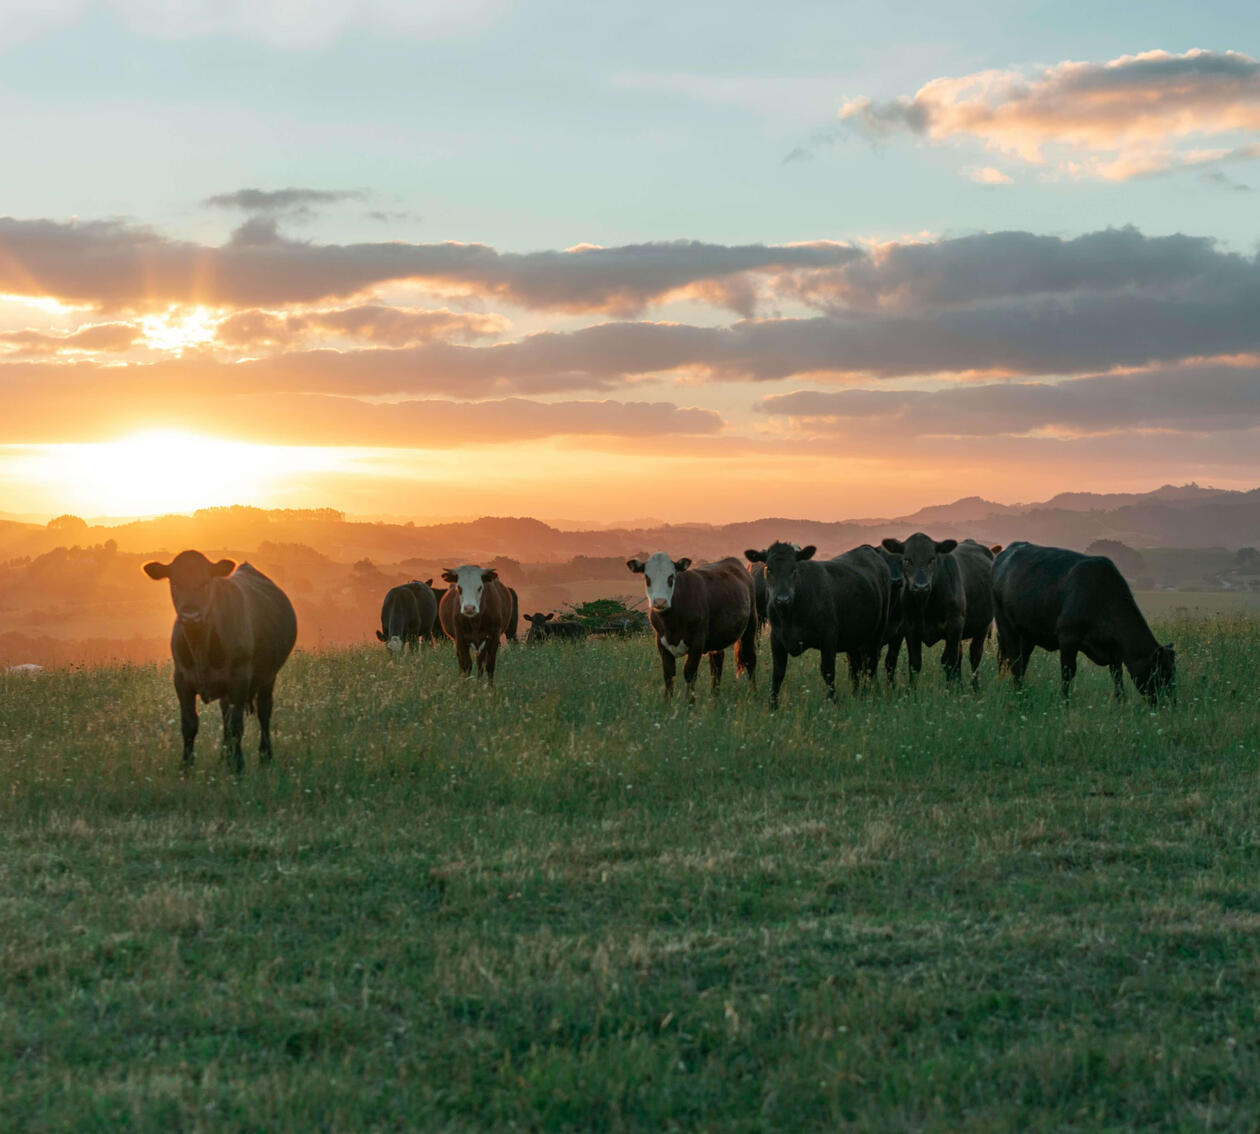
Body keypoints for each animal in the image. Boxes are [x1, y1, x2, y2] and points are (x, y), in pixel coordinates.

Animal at [143, 550, 297, 771]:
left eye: (206, 583)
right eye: (175, 584)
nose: (191, 615)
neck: (200, 647)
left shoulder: (239, 678)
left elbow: (236, 726)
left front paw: (239, 766)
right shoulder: (181, 679)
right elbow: (189, 724)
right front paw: (186, 767)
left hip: (269, 675)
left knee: (264, 711)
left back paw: (265, 756)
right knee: (226, 714)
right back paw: (224, 758)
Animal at [626, 553, 757, 701]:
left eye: (671, 577)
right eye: (647, 577)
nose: (660, 601)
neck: (671, 623)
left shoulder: (697, 641)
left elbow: (690, 673)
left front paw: (689, 703)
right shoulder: (661, 642)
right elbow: (668, 674)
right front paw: (667, 702)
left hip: (750, 625)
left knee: (750, 659)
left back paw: (753, 694)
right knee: (717, 664)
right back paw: (714, 698)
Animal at [745, 542, 889, 709]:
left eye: (794, 569)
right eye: (769, 569)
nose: (782, 599)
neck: (789, 616)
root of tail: (868, 549)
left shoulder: (829, 636)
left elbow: (828, 671)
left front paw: (833, 702)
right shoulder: (777, 638)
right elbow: (778, 673)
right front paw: (772, 706)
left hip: (877, 633)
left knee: (871, 665)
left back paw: (872, 694)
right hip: (855, 638)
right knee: (856, 667)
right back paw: (857, 694)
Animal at [879, 534, 997, 687]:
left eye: (932, 559)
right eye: (907, 560)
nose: (921, 586)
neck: (926, 605)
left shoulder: (954, 625)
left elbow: (949, 661)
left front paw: (951, 690)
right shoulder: (910, 627)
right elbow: (915, 663)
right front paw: (912, 691)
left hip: (983, 627)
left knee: (975, 655)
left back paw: (974, 687)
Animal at [993, 541, 1175, 704]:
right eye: (1161, 673)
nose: (1170, 703)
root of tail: (1007, 551)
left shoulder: (1115, 651)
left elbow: (1117, 676)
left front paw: (1120, 702)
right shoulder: (1068, 638)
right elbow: (1068, 673)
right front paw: (1065, 703)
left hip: (1027, 634)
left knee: (1022, 662)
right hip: (1005, 625)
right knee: (1014, 661)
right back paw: (1020, 695)